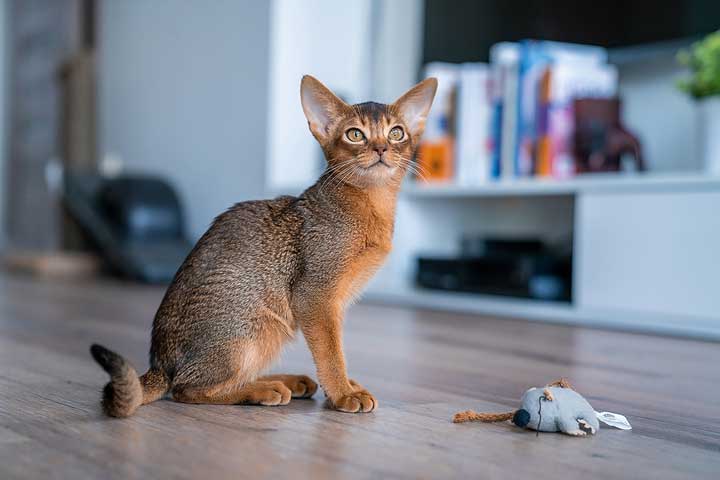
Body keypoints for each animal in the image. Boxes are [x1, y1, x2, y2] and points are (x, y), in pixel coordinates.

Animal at [91, 74, 438, 416]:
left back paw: (288, 381)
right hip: (256, 326)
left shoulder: (335, 305)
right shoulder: (315, 296)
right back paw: (262, 390)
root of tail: (160, 365)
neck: (370, 204)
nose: (381, 148)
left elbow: (335, 348)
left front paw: (345, 386)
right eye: (355, 134)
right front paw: (343, 393)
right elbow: (330, 352)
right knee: (186, 388)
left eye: (397, 132)